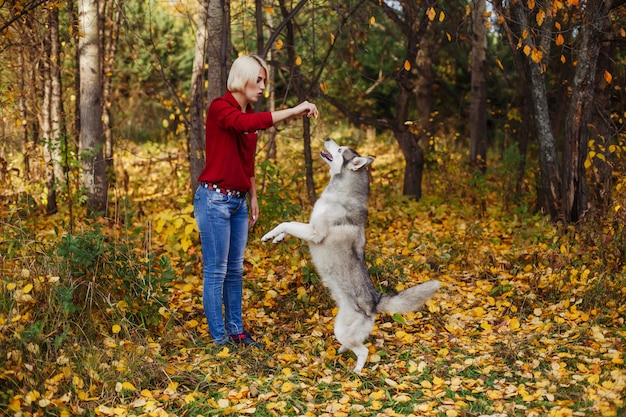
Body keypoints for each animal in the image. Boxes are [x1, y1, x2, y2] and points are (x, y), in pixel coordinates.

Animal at [260, 139, 438, 370]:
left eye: (339, 150)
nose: (328, 138)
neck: (341, 192)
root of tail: (375, 300)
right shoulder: (309, 227)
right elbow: (288, 226)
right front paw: (276, 238)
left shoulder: (315, 232)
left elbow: (286, 223)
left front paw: (269, 234)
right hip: (340, 326)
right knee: (354, 344)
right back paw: (341, 352)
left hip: (342, 329)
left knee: (363, 350)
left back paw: (357, 371)